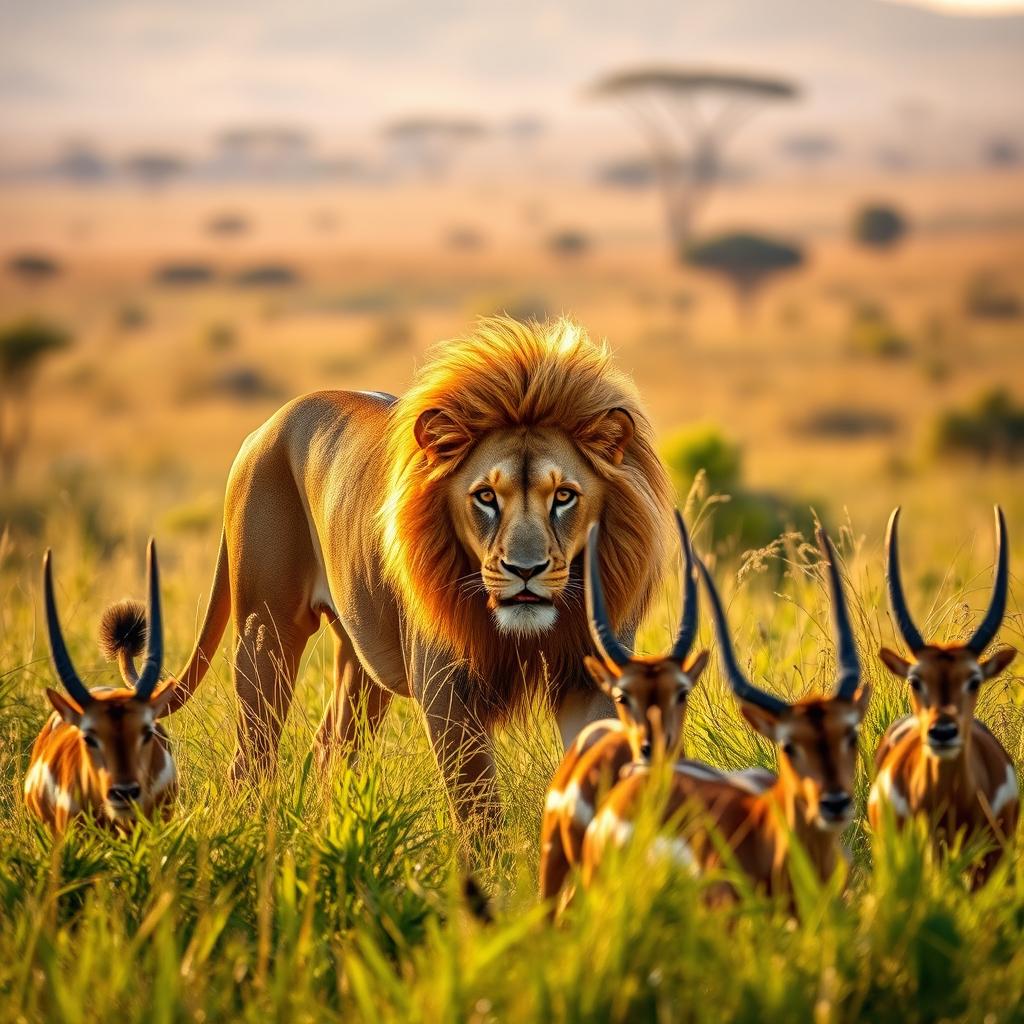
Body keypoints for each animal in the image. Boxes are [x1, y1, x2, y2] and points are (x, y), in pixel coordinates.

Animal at [165, 316, 674, 823]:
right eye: (486, 496)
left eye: (564, 496)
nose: (524, 569)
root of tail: (264, 428)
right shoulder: (445, 688)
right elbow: (479, 810)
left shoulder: (591, 680)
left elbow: (595, 772)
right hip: (266, 629)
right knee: (253, 756)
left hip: (360, 654)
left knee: (332, 744)